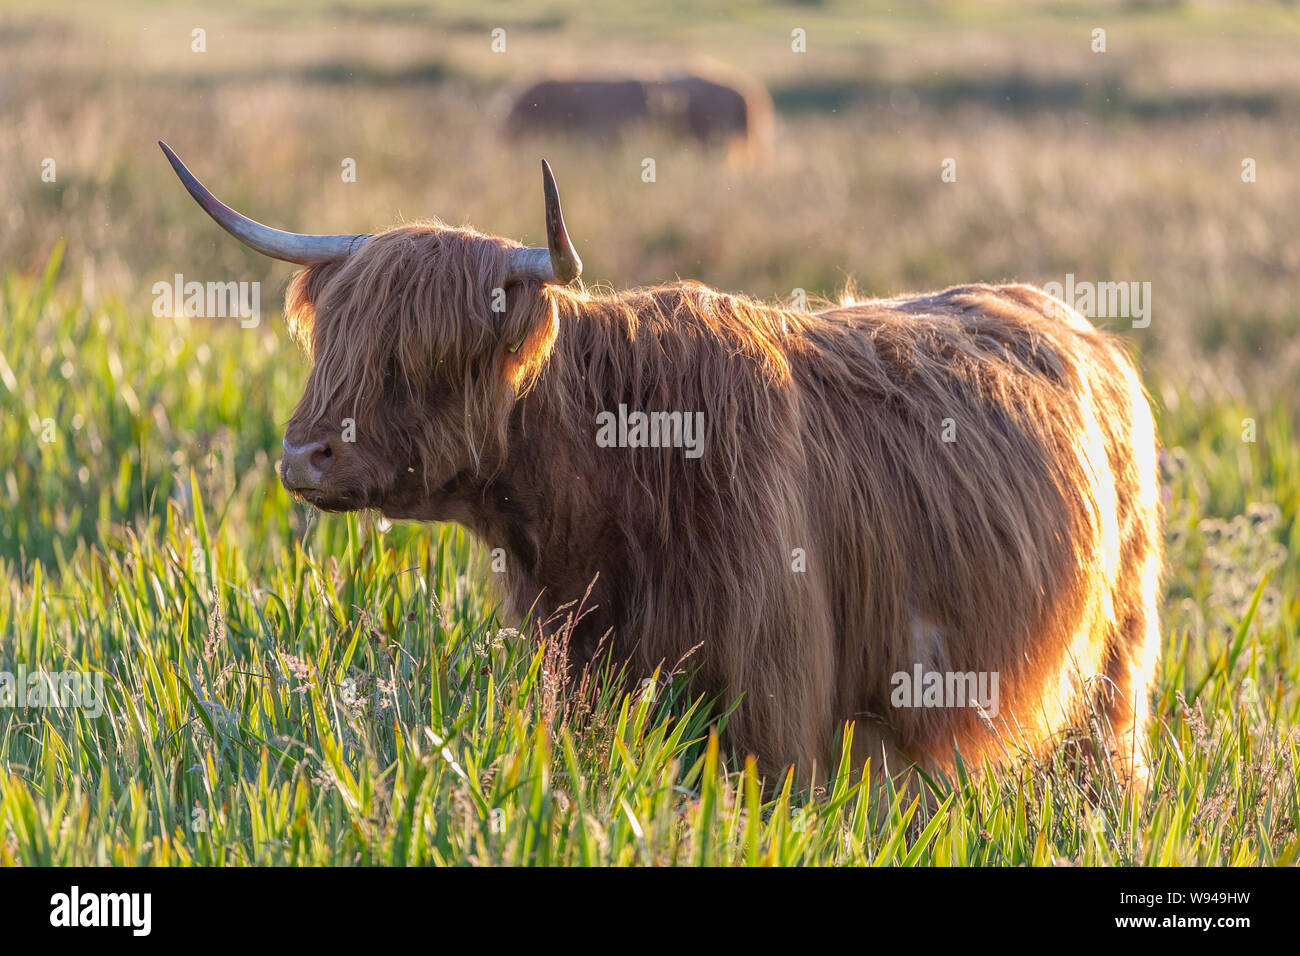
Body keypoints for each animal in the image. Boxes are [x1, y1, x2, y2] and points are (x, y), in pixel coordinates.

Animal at [160, 141, 1162, 788]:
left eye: (428, 355)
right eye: (331, 346)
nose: (305, 455)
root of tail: (1078, 327)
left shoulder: (773, 701)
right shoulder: (584, 672)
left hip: (1115, 655)